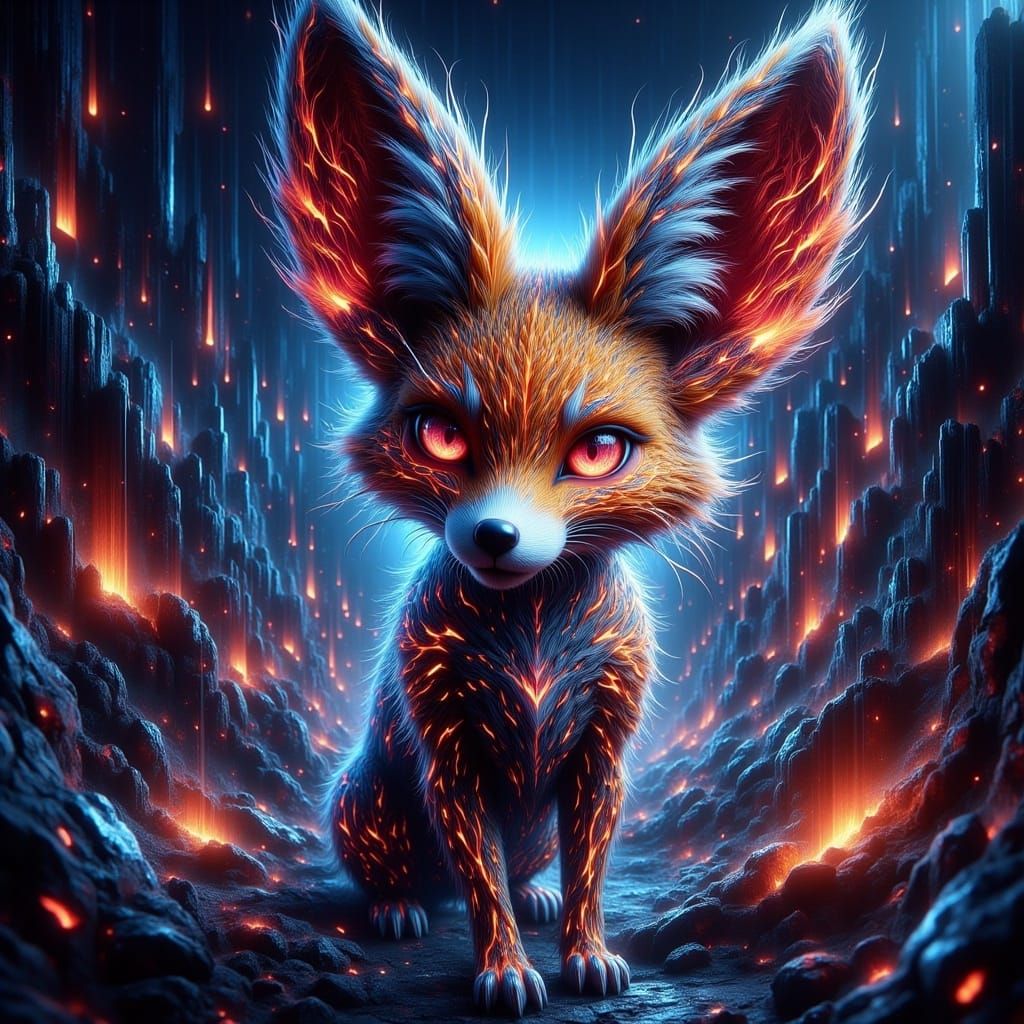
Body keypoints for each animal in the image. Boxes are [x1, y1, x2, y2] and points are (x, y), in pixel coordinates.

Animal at [270, 0, 868, 1015]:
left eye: (598, 451)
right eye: (440, 435)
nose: (494, 534)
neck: (536, 644)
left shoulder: (603, 750)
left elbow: (590, 868)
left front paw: (585, 952)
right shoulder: (445, 749)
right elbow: (478, 880)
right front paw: (506, 969)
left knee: (534, 866)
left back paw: (537, 894)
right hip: (365, 797)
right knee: (411, 872)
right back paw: (397, 905)